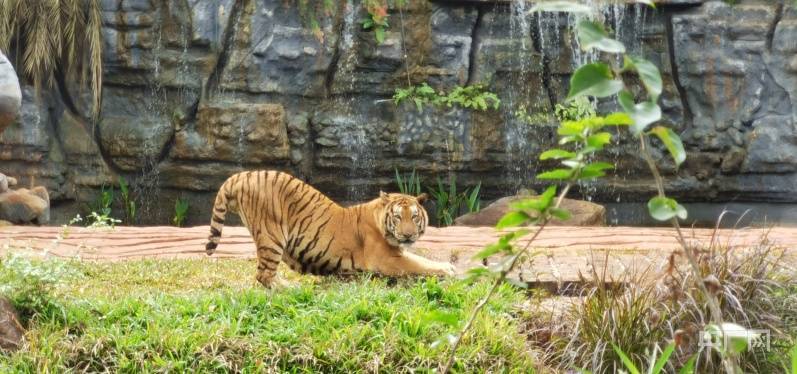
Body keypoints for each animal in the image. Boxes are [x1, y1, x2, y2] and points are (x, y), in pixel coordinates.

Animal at [205, 171, 454, 288]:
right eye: (398, 217)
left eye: (414, 217)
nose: (409, 235)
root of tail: (241, 175)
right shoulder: (387, 259)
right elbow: (420, 265)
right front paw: (447, 270)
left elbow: (421, 259)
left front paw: (447, 266)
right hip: (271, 235)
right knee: (263, 274)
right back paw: (293, 289)